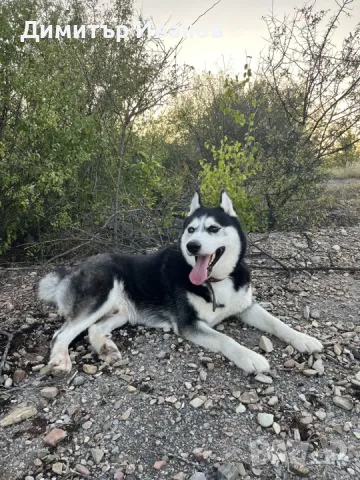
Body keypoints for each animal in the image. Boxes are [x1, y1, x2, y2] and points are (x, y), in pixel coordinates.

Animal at [38, 191, 322, 376]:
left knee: (94, 328)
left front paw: (304, 339)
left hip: (123, 312)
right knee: (62, 333)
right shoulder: (190, 324)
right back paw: (61, 360)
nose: (192, 246)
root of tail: (74, 270)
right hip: (102, 292)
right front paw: (251, 357)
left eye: (213, 228)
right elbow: (226, 340)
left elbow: (277, 323)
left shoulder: (245, 306)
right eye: (190, 229)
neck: (215, 281)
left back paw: (106, 348)